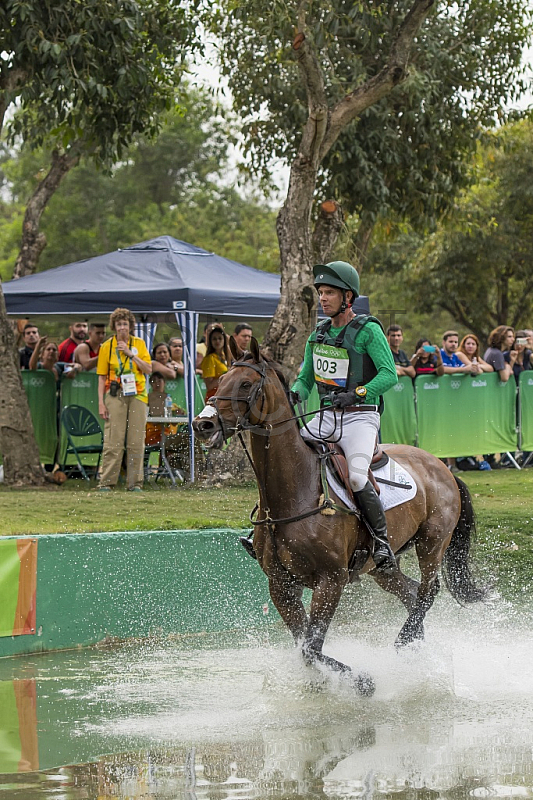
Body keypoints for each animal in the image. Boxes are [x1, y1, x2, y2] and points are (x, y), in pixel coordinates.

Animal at [192, 338, 486, 692]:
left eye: (246, 384)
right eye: (220, 380)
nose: (202, 424)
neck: (293, 494)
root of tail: (442, 466)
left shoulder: (330, 581)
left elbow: (312, 647)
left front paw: (363, 683)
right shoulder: (281, 585)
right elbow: (305, 646)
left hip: (432, 541)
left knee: (428, 591)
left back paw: (404, 641)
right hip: (382, 567)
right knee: (412, 592)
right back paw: (415, 649)